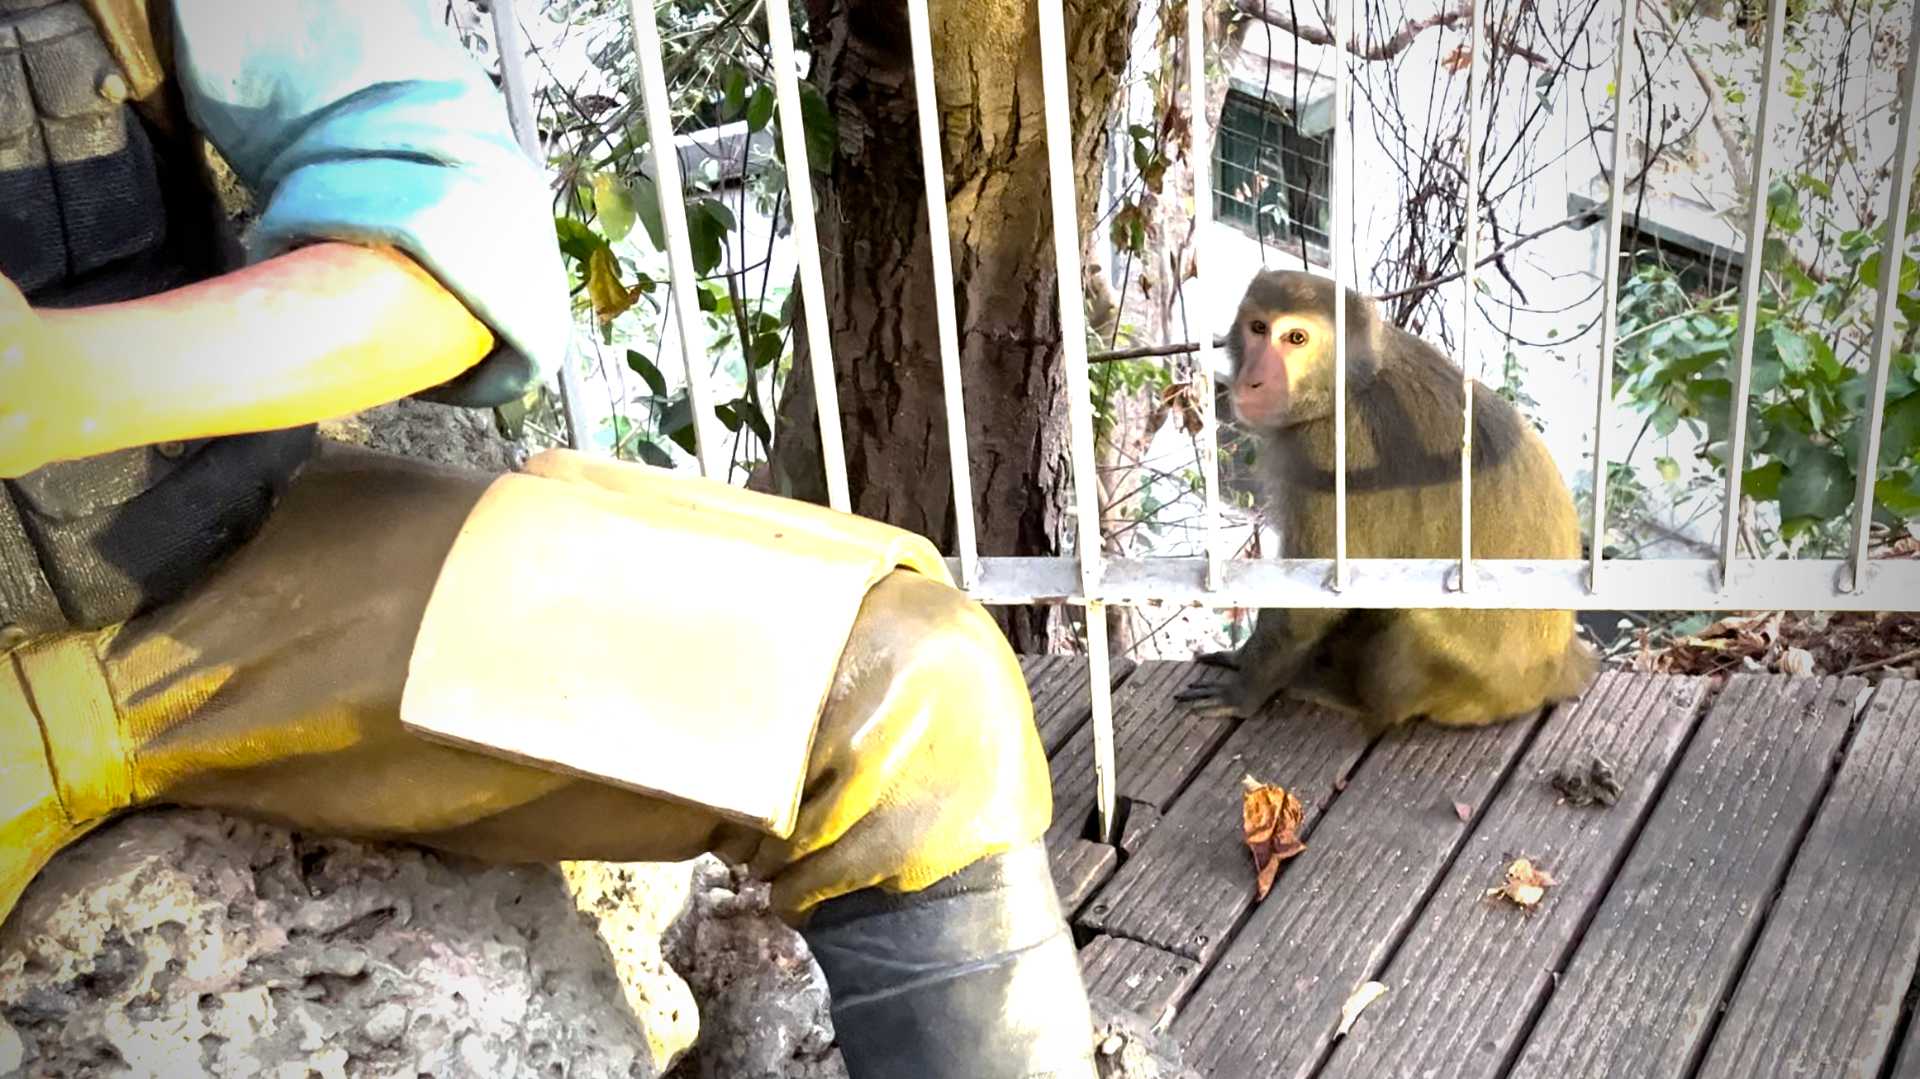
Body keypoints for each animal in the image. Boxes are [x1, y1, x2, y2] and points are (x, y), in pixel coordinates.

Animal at [1175, 268, 1597, 729]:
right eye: (1258, 328)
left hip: (1472, 686)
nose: (1252, 379)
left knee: (1411, 624)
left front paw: (1245, 689)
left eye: (1295, 339)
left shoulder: (1330, 451)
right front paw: (1243, 658)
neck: (1348, 385)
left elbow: (1312, 602)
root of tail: (1561, 667)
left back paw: (1348, 698)